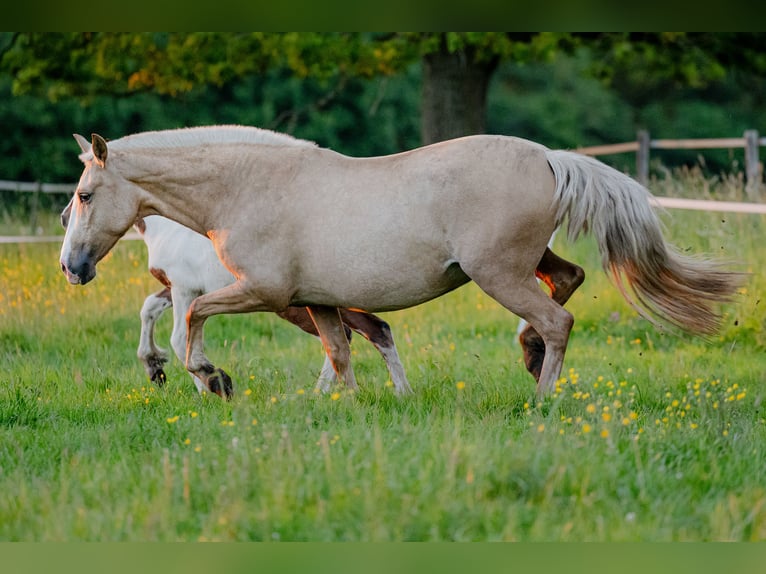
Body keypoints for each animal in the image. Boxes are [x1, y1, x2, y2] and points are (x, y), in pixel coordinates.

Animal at [60, 202, 414, 396]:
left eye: (82, 196)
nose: (63, 217)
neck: (167, 231)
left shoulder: (183, 288)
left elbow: (179, 337)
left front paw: (207, 385)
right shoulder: (179, 290)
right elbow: (149, 308)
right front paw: (156, 369)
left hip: (302, 306)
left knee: (358, 333)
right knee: (373, 329)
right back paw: (396, 392)